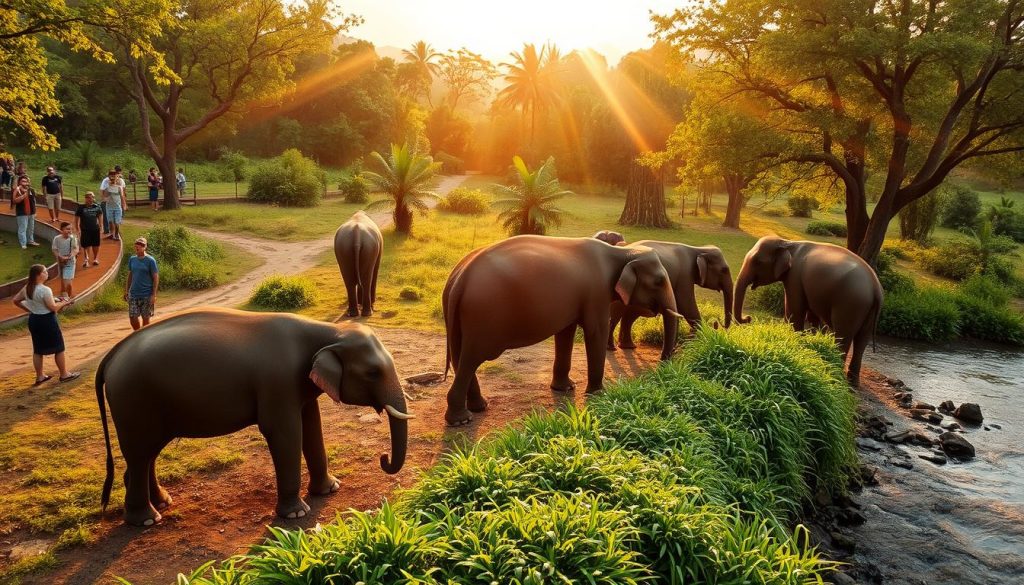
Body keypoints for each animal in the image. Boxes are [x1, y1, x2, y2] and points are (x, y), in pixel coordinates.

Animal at [95, 308, 410, 526]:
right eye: (372, 372)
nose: (383, 458)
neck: (328, 331)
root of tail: (111, 356)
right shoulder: (278, 381)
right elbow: (285, 432)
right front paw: (296, 514)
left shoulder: (300, 385)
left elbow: (312, 425)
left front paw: (330, 489)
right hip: (133, 401)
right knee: (140, 452)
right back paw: (147, 520)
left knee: (146, 452)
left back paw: (162, 503)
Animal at [442, 235, 681, 426]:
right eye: (659, 281)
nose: (663, 363)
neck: (622, 252)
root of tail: (460, 278)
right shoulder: (596, 292)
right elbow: (596, 330)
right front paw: (598, 394)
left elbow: (566, 332)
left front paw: (565, 389)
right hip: (482, 317)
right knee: (472, 358)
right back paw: (462, 420)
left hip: (457, 316)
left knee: (460, 357)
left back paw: (478, 407)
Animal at [734, 236, 883, 385]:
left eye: (757, 262)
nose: (748, 318)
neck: (787, 243)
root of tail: (876, 289)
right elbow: (811, 317)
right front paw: (811, 344)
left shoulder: (794, 277)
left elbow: (794, 311)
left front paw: (796, 345)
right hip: (867, 309)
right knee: (861, 341)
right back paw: (852, 382)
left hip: (850, 304)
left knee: (843, 337)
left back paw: (835, 374)